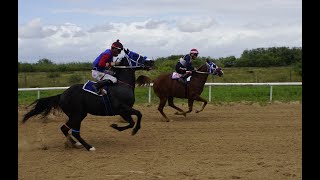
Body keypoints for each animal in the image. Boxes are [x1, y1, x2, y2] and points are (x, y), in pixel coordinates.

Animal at [21, 48, 154, 150]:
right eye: (136, 55)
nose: (152, 62)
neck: (122, 84)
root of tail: (62, 94)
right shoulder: (122, 108)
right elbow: (139, 114)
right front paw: (133, 130)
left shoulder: (123, 111)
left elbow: (131, 122)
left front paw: (116, 126)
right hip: (77, 114)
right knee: (71, 130)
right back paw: (88, 147)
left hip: (78, 114)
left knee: (66, 129)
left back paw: (75, 144)